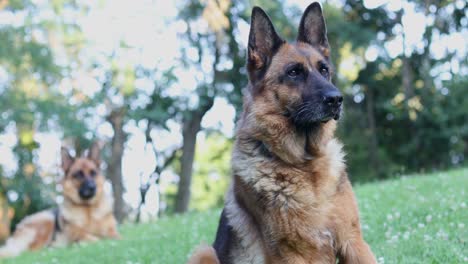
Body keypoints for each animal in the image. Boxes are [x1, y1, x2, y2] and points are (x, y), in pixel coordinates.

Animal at [189, 2, 376, 264]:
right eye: (293, 72)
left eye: (324, 70)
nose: (336, 99)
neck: (304, 164)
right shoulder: (288, 254)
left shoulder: (353, 241)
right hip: (204, 252)